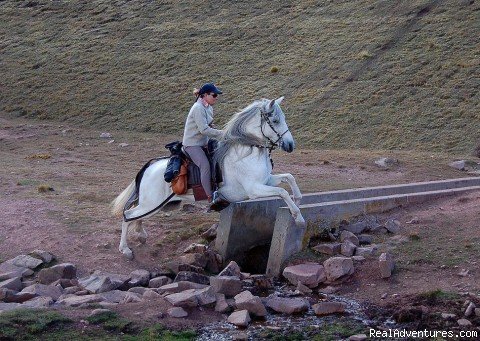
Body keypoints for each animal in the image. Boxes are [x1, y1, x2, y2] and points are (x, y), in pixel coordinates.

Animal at [111, 97, 304, 258]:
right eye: (275, 120)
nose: (290, 145)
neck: (247, 151)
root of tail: (150, 166)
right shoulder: (255, 189)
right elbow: (282, 192)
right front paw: (298, 217)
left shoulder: (265, 181)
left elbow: (289, 178)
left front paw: (298, 199)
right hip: (151, 204)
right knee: (128, 215)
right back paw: (125, 249)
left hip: (156, 205)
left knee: (135, 217)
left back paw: (141, 235)